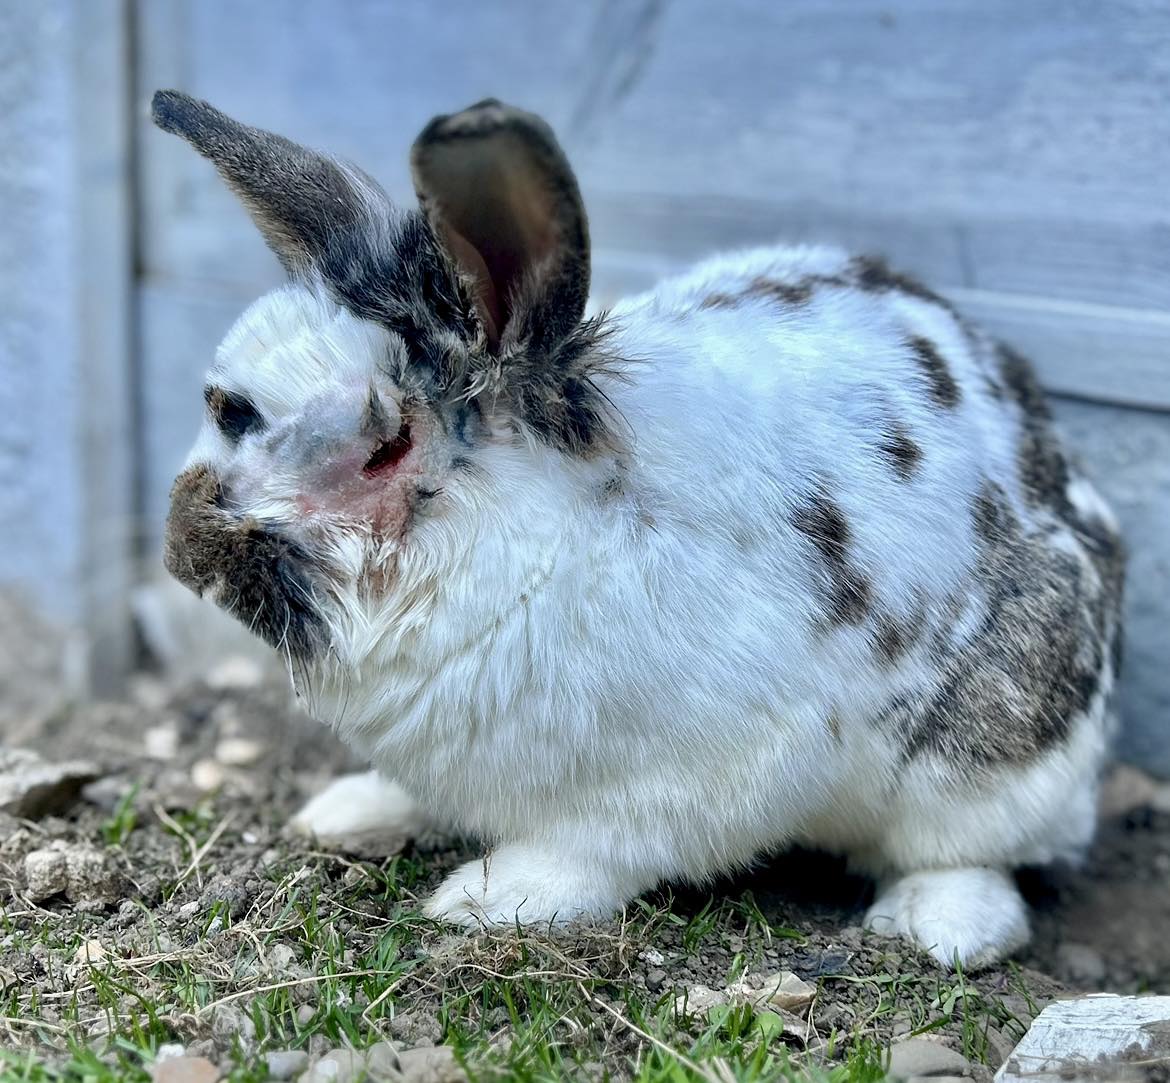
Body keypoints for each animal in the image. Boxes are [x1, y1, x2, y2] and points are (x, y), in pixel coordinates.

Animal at [152, 89, 1125, 969]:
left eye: (385, 447)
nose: (182, 552)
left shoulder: (675, 785)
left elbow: (591, 854)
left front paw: (488, 898)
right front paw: (353, 812)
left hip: (993, 750)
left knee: (977, 853)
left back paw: (938, 925)